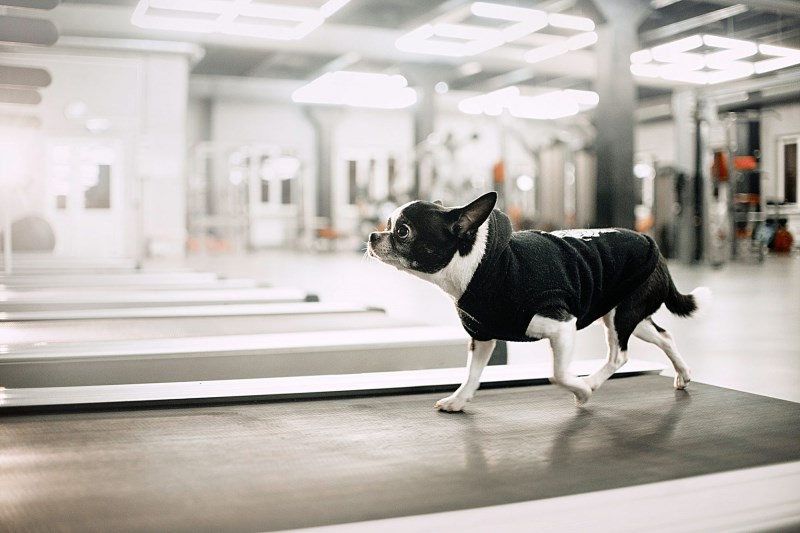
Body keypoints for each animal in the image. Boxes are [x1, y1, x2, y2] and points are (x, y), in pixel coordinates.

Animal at [368, 191, 712, 412]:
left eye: (402, 231)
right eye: (388, 224)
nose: (373, 235)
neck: (478, 265)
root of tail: (654, 247)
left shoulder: (562, 325)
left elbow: (557, 373)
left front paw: (581, 390)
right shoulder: (482, 336)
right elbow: (472, 373)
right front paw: (460, 400)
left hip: (622, 316)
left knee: (619, 356)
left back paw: (591, 383)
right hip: (629, 315)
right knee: (664, 336)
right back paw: (683, 373)